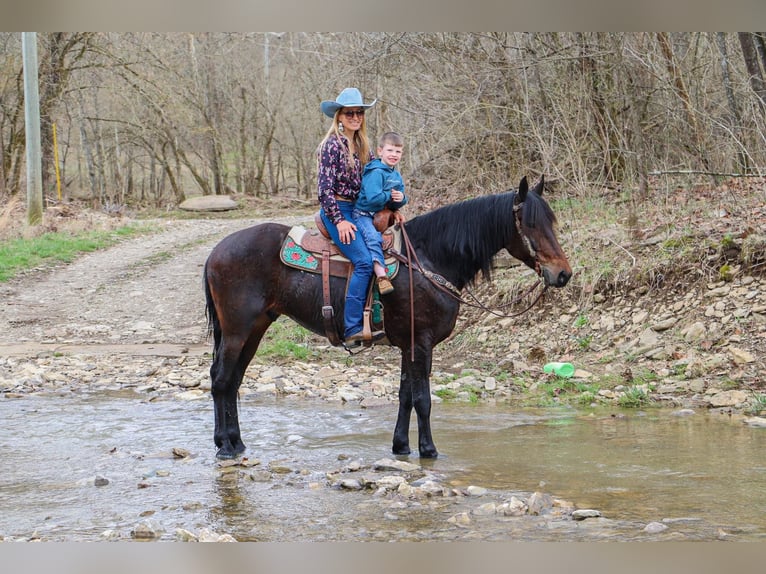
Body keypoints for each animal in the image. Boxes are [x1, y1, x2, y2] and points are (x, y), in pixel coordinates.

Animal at [204, 173, 568, 462]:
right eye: (530, 224)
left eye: (551, 222)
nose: (563, 274)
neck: (428, 260)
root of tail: (216, 252)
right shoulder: (421, 343)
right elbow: (423, 399)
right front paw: (429, 450)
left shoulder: (409, 344)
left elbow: (405, 396)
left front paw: (401, 446)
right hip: (237, 330)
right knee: (222, 380)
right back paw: (225, 447)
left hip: (256, 328)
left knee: (233, 381)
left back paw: (236, 442)